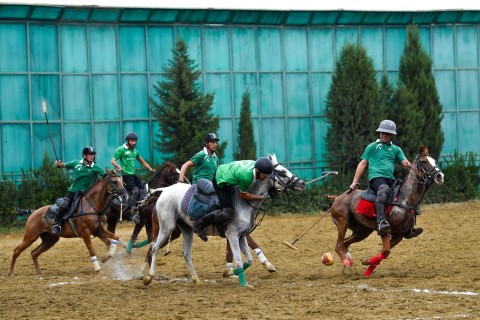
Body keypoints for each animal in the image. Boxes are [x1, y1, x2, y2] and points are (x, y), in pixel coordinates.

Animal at [144, 154, 306, 288]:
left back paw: (196, 280)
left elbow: (249, 260)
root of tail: (164, 191)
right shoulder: (232, 235)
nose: (302, 183)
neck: (244, 203)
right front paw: (243, 284)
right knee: (153, 247)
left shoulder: (242, 236)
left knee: (185, 253)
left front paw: (229, 273)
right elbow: (239, 259)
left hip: (186, 229)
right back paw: (148, 277)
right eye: (282, 172)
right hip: (168, 228)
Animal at [328, 146, 444, 276]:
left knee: (345, 243)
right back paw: (347, 266)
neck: (405, 198)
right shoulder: (386, 231)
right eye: (424, 161)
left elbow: (384, 252)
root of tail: (337, 198)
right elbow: (386, 251)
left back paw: (349, 262)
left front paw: (368, 267)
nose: (440, 176)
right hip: (342, 222)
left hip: (362, 231)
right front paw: (366, 262)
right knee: (338, 246)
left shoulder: (399, 234)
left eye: (434, 161)